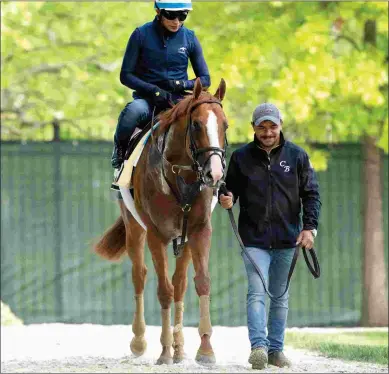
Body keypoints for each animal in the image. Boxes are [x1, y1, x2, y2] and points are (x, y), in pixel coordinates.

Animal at [94, 79, 227, 366]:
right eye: (196, 125)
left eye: (225, 125)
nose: (215, 173)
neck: (180, 175)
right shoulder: (156, 235)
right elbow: (164, 289)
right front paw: (164, 351)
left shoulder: (200, 231)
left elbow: (201, 282)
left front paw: (205, 349)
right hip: (134, 228)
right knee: (140, 276)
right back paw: (139, 341)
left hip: (184, 238)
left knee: (180, 283)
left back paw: (180, 348)